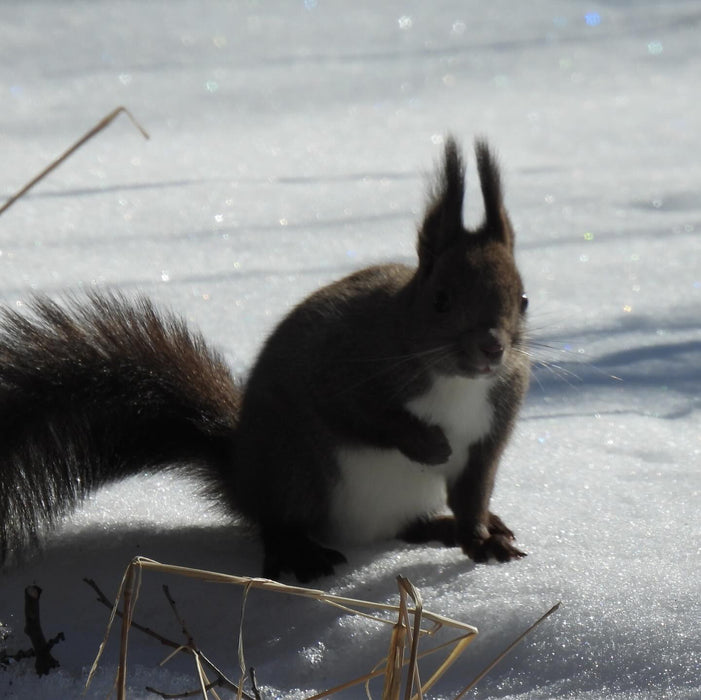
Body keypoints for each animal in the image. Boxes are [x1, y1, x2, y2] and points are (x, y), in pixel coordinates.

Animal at [0, 135, 524, 580]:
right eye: (441, 300)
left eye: (522, 299)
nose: (491, 347)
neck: (455, 381)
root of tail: (242, 474)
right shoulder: (340, 363)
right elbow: (359, 414)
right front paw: (426, 443)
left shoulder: (494, 423)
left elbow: (474, 490)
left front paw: (480, 538)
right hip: (295, 468)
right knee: (279, 524)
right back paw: (299, 553)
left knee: (408, 527)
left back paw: (448, 527)